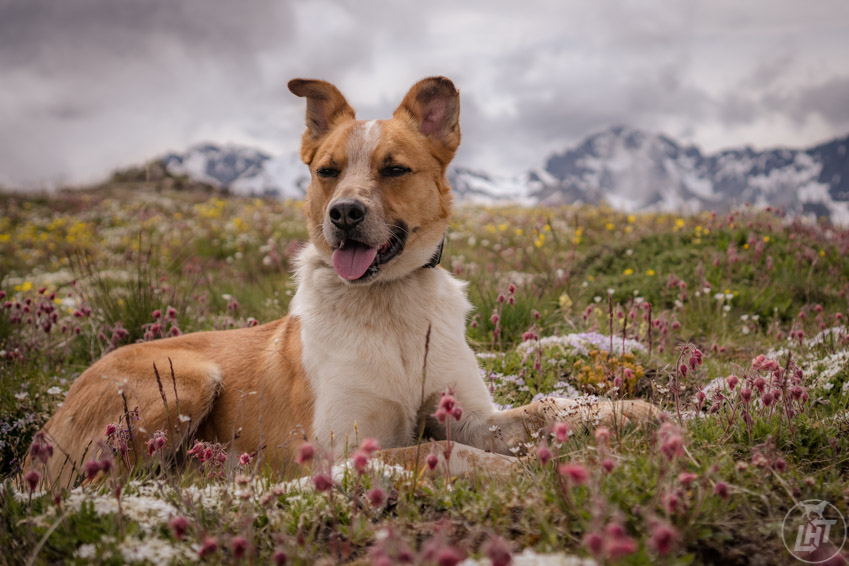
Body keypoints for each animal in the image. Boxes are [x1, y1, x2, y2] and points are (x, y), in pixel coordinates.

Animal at [31, 76, 656, 488]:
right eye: (327, 171)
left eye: (395, 168)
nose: (345, 214)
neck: (389, 301)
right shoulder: (341, 452)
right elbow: (452, 454)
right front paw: (539, 471)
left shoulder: (470, 413)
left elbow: (544, 408)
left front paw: (627, 416)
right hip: (187, 379)